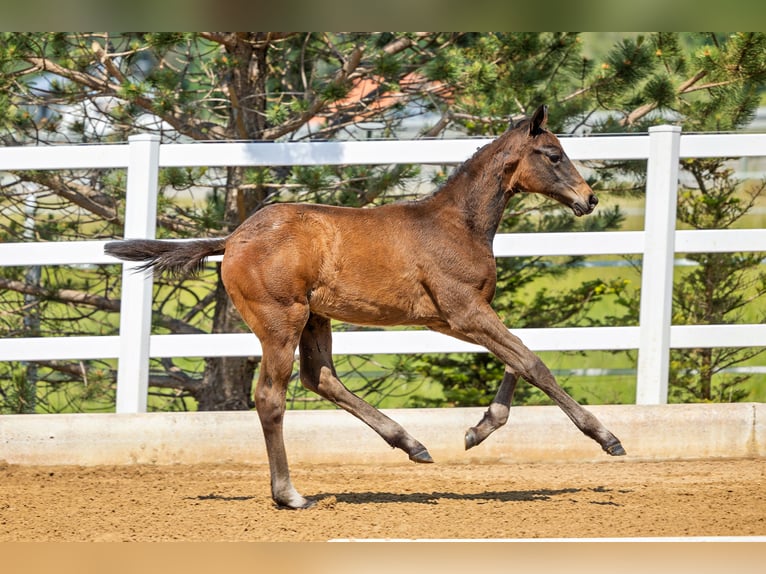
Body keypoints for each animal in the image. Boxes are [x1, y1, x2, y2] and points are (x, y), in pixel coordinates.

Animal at [105, 106, 628, 510]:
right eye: (554, 155)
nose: (589, 199)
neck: (457, 224)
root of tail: (233, 239)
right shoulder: (464, 310)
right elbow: (532, 361)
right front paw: (607, 438)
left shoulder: (454, 318)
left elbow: (516, 358)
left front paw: (478, 430)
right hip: (281, 321)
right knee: (272, 397)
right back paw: (290, 495)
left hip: (315, 318)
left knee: (321, 378)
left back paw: (412, 444)